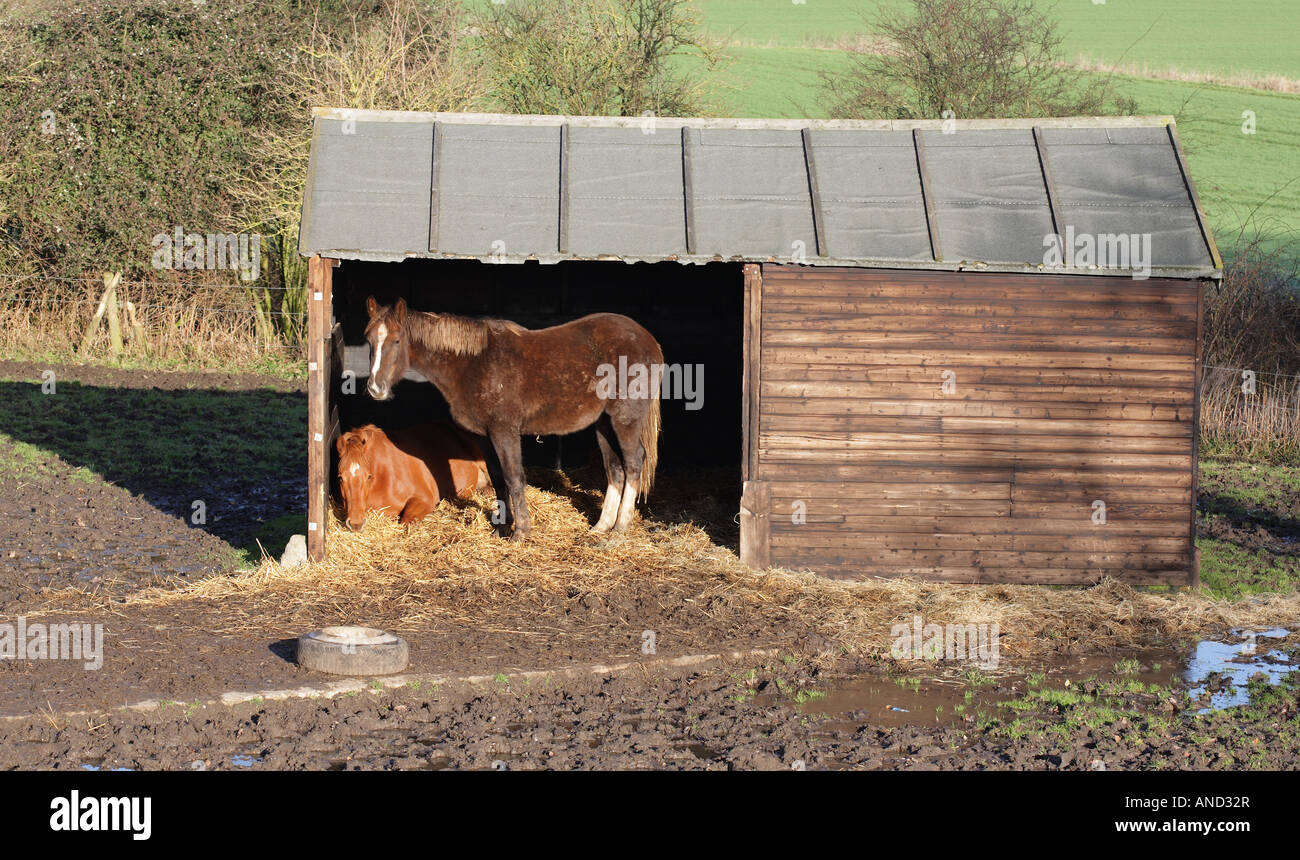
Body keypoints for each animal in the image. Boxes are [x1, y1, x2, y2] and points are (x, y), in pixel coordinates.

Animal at [366, 296, 665, 540]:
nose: (375, 389)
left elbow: (513, 477)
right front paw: (500, 528)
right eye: (369, 341)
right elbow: (498, 478)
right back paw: (601, 526)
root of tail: (649, 340)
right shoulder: (483, 436)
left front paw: (520, 531)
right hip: (604, 423)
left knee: (634, 462)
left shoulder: (504, 431)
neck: (471, 364)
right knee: (614, 468)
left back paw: (620, 528)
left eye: (396, 340)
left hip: (625, 419)